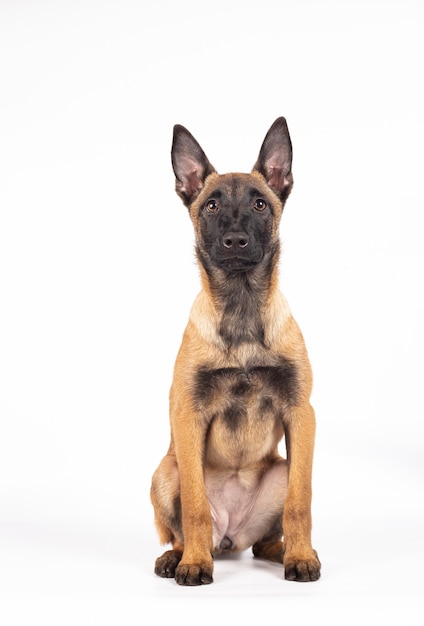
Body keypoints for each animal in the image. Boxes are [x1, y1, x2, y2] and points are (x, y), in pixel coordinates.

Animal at [151, 117, 320, 584]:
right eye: (211, 206)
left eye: (260, 205)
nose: (235, 240)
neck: (242, 309)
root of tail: (230, 536)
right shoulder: (188, 417)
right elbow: (194, 508)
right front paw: (194, 564)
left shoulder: (302, 415)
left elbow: (301, 503)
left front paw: (303, 557)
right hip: (165, 472)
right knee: (184, 530)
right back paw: (179, 556)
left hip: (282, 468)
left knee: (265, 539)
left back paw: (285, 551)